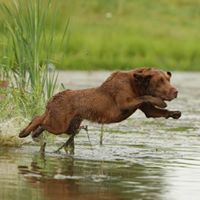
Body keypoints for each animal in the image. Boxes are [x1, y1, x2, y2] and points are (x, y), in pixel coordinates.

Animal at [18, 68, 181, 152]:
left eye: (168, 79)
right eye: (160, 81)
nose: (175, 91)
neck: (137, 84)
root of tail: (53, 98)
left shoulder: (146, 109)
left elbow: (153, 110)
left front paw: (175, 113)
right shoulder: (124, 103)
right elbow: (145, 97)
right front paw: (160, 102)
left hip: (70, 126)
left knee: (44, 122)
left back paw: (34, 133)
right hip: (59, 124)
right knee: (39, 119)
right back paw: (24, 132)